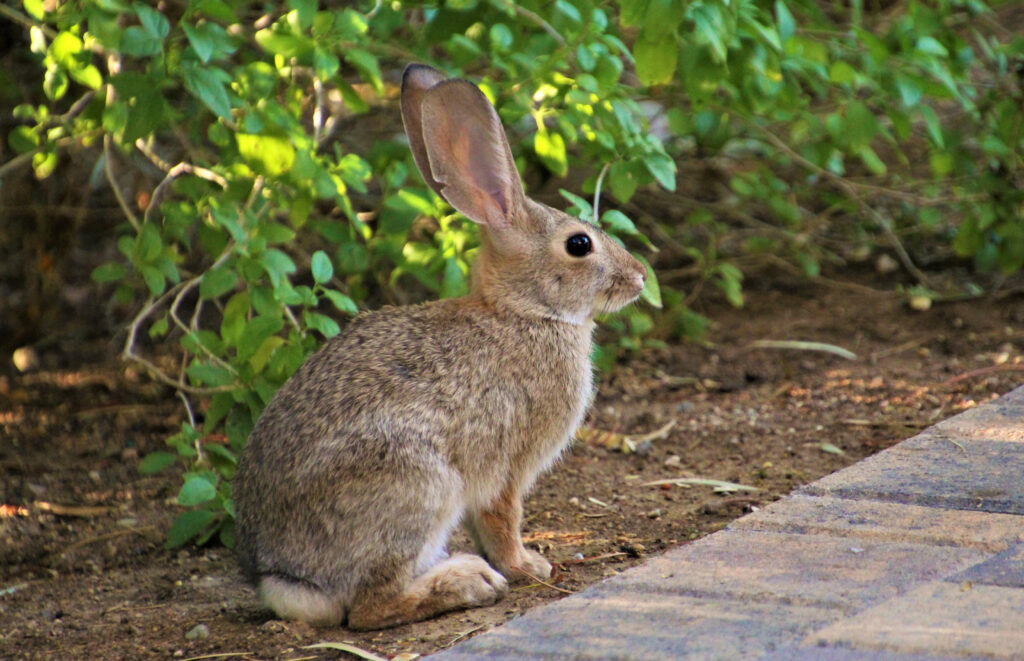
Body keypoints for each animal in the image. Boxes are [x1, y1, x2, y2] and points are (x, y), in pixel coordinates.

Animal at [233, 63, 648, 630]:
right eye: (579, 244)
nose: (640, 277)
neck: (525, 312)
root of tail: (288, 579)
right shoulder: (506, 464)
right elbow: (502, 518)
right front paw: (528, 566)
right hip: (420, 485)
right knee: (368, 608)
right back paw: (466, 583)